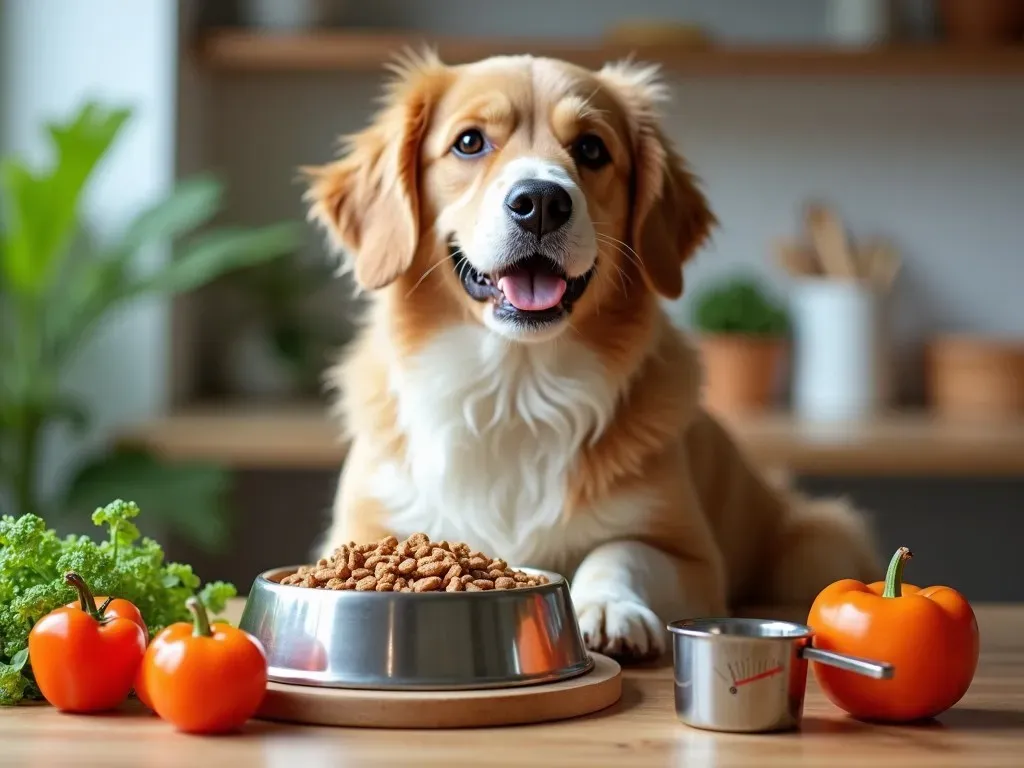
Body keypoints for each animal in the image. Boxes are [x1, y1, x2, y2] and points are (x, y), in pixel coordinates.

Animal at [299, 52, 884, 663]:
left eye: (592, 149)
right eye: (469, 142)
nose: (540, 202)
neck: (513, 386)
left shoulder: (693, 558)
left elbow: (618, 551)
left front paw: (605, 606)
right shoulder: (359, 527)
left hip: (823, 538)